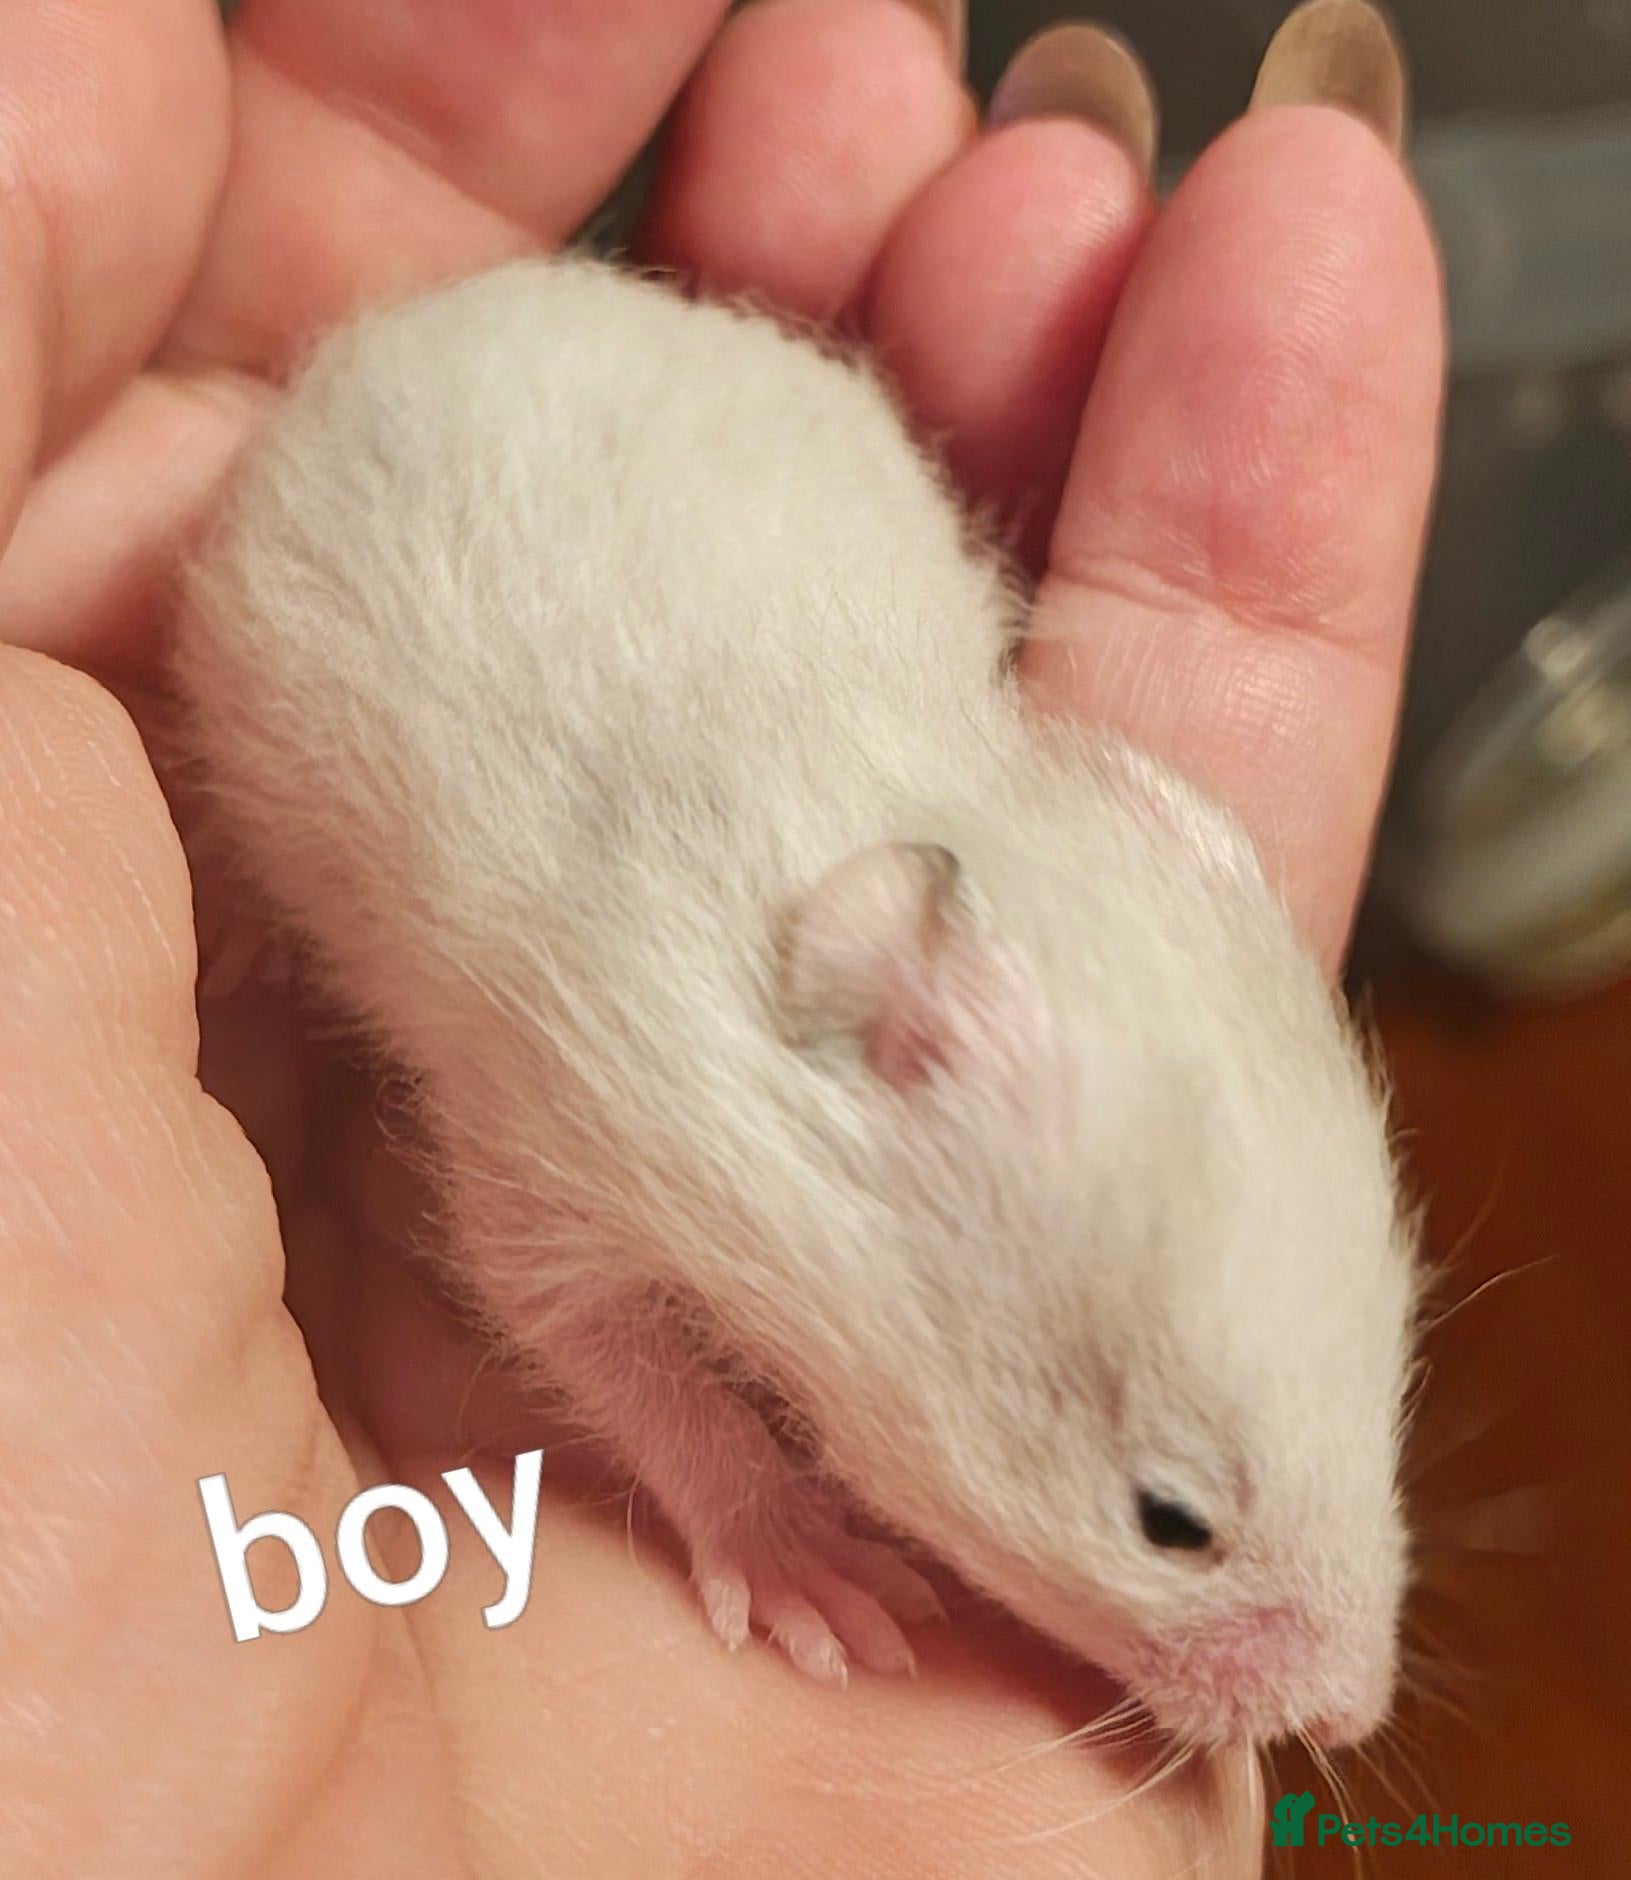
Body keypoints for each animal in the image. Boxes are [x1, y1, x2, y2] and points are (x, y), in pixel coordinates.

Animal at [174, 255, 1420, 1750]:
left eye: (1386, 1389)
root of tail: (443, 303)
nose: (1351, 1716)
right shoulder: (550, 1153)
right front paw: (835, 1600)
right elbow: (632, 1369)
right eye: (1166, 1520)